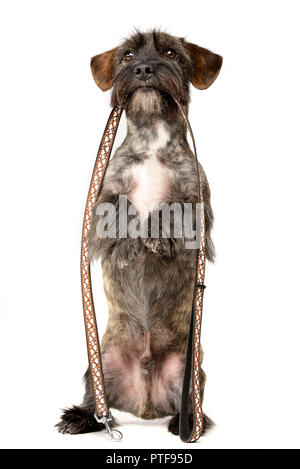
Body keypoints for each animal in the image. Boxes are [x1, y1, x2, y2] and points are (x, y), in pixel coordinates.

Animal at [56, 29, 220, 436]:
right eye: (128, 55)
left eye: (171, 53)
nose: (144, 67)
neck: (152, 141)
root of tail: (144, 406)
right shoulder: (102, 196)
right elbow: (120, 206)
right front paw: (131, 244)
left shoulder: (198, 201)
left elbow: (172, 207)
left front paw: (155, 236)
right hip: (99, 364)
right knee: (98, 402)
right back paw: (81, 417)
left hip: (190, 370)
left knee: (193, 403)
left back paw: (186, 420)